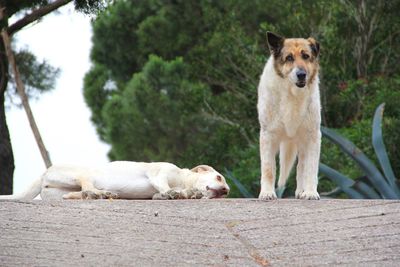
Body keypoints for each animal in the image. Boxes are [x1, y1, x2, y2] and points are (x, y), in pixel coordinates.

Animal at [256, 31, 322, 201]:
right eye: (289, 58)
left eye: (306, 56)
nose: (301, 74)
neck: (293, 94)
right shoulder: (268, 135)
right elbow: (268, 168)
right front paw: (267, 193)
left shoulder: (313, 136)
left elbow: (310, 168)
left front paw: (310, 192)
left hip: (303, 142)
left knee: (301, 167)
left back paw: (302, 191)